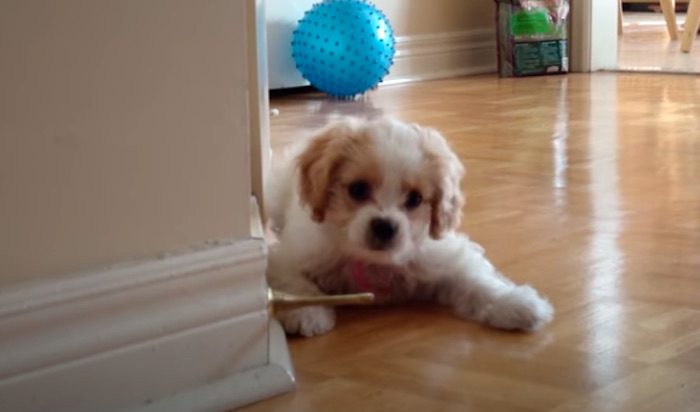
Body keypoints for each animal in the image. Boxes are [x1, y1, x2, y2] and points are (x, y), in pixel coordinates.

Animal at [266, 117, 556, 336]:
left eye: (415, 199)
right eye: (358, 189)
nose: (384, 226)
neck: (372, 262)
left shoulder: (445, 257)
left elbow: (478, 279)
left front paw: (515, 302)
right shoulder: (288, 256)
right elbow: (295, 282)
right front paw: (305, 310)